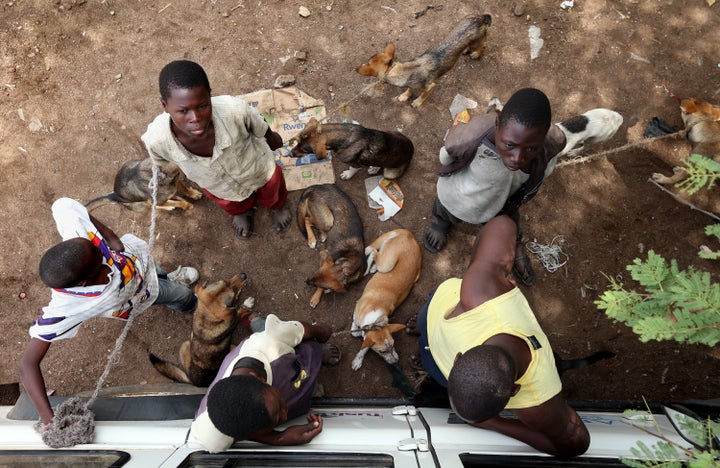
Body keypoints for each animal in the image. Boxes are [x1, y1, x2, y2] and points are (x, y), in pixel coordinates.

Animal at [350, 229, 422, 372]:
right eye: (382, 351)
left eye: (393, 345)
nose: (396, 362)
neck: (374, 320)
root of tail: (409, 235)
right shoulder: (357, 307)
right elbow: (356, 326)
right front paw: (355, 329)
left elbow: (364, 346)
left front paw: (358, 359)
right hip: (387, 264)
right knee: (372, 252)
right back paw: (370, 267)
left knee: (374, 253)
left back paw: (372, 268)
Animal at [358, 13, 492, 108]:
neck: (398, 70)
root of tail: (481, 17)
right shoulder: (411, 84)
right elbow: (410, 89)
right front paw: (404, 96)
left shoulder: (431, 85)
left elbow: (423, 95)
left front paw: (417, 102)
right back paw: (465, 50)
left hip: (477, 43)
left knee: (484, 45)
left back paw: (476, 54)